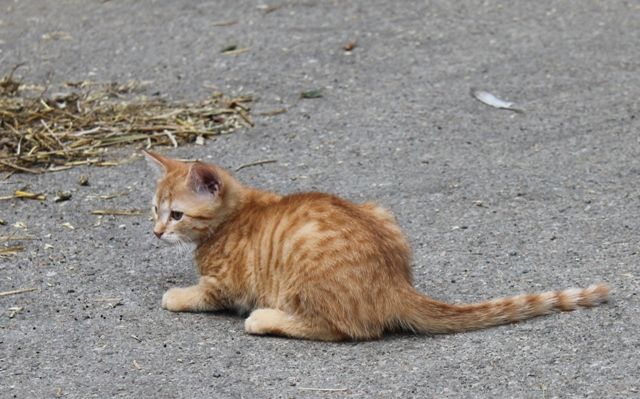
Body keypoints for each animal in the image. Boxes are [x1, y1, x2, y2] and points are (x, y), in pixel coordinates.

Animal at [145, 152, 608, 342]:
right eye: (153, 209)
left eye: (177, 215)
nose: (155, 232)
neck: (234, 217)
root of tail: (396, 284)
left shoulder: (228, 284)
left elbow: (203, 294)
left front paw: (177, 294)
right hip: (381, 211)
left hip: (302, 280)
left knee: (343, 329)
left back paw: (265, 320)